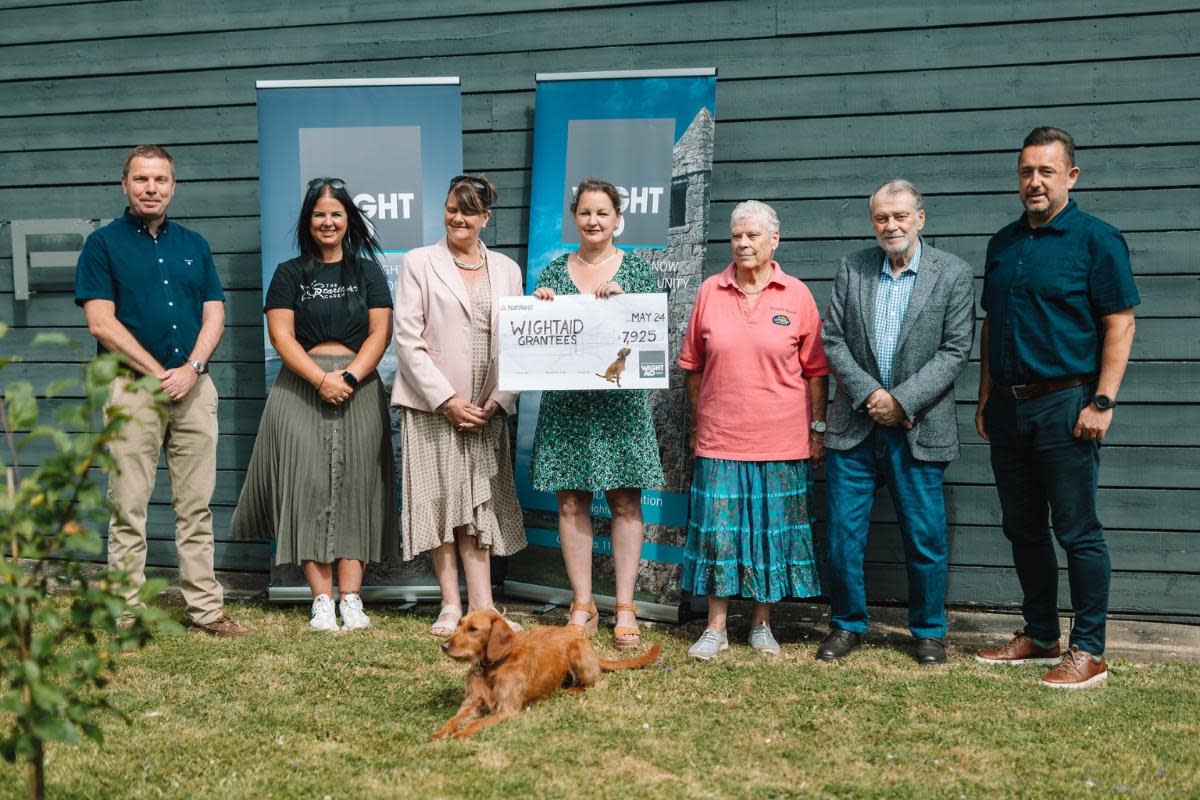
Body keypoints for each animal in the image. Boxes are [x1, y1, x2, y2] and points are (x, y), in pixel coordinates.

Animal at [432, 609, 662, 743]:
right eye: (459, 625)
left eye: (473, 629)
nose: (443, 646)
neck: (494, 666)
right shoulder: (472, 703)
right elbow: (453, 720)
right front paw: (441, 732)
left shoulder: (506, 709)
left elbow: (476, 724)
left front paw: (461, 734)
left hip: (577, 651)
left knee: (593, 683)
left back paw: (572, 689)